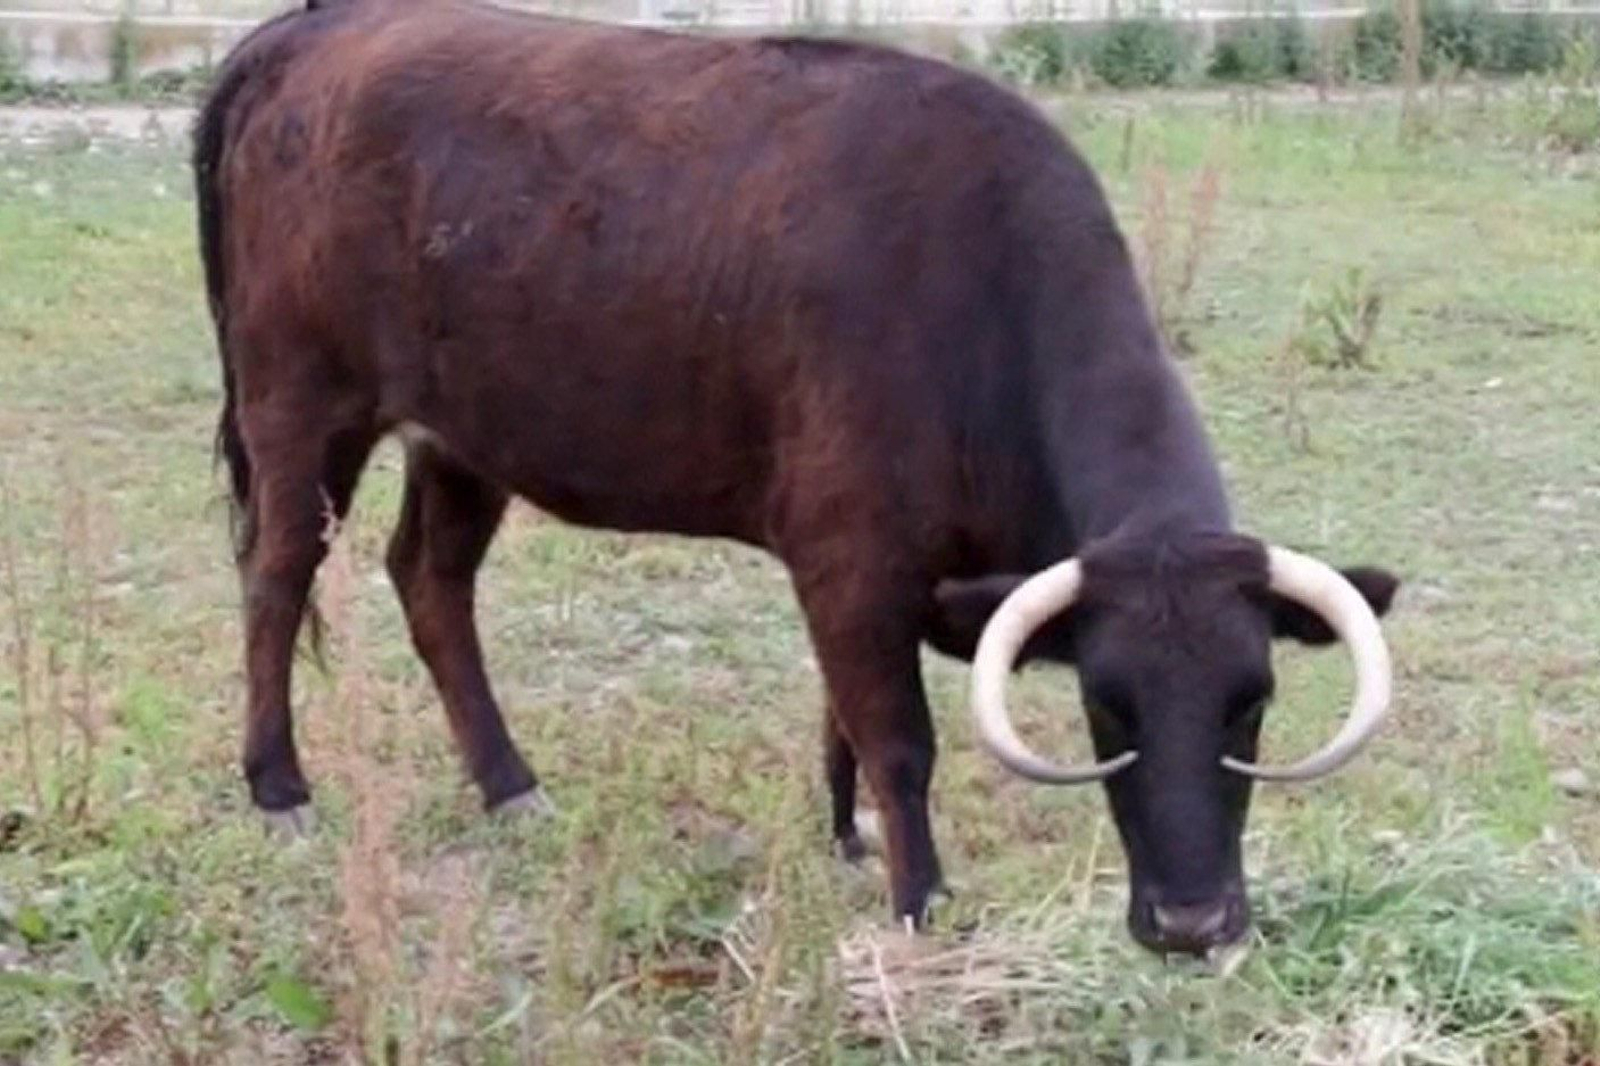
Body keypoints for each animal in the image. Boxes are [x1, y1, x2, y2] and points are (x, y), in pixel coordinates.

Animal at [194, 0, 1399, 958]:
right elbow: (897, 737)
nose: (1195, 925)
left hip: (464, 438)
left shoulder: (872, 572)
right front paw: (922, 901)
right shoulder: (850, 554)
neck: (974, 303)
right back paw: (279, 786)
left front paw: (844, 835)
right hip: (301, 405)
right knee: (276, 578)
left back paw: (509, 783)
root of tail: (316, 25)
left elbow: (845, 717)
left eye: (1254, 700)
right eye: (1106, 703)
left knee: (430, 583)